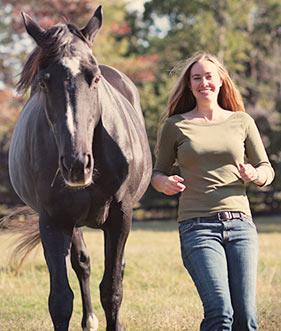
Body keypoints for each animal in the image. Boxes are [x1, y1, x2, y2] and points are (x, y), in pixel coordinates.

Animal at [7, 5, 151, 331]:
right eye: (43, 82)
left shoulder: (121, 215)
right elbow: (61, 299)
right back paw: (89, 320)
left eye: (94, 78)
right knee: (82, 264)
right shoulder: (52, 220)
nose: (77, 165)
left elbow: (112, 289)